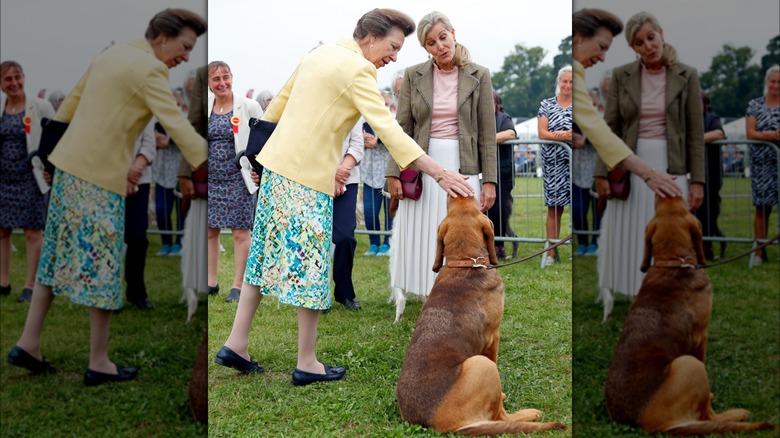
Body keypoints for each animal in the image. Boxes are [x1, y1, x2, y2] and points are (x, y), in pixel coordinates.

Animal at [400, 197, 564, 436]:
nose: (461, 191)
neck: (465, 261)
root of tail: (443, 426)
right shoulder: (494, 337)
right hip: (482, 365)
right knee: (501, 416)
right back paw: (528, 413)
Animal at [604, 198, 772, 434]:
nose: (667, 192)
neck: (674, 261)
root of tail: (650, 424)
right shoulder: (701, 337)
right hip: (690, 364)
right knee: (708, 415)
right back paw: (736, 413)